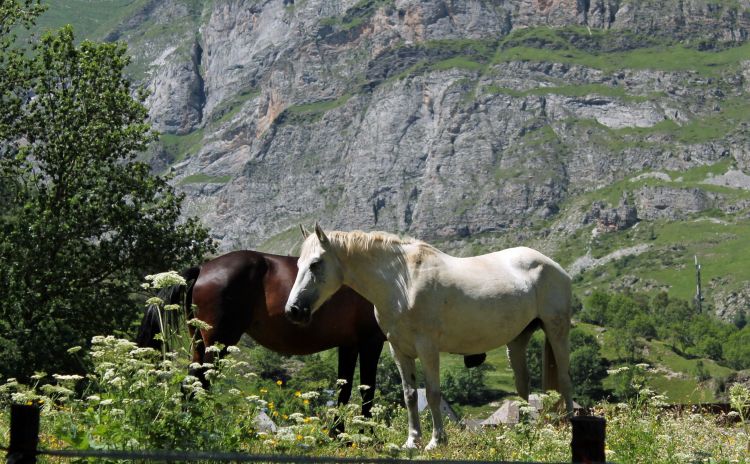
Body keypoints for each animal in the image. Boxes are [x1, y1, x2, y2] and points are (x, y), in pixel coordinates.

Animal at [284, 225, 572, 450]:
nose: (293, 310)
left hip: (557, 331)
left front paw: (436, 441)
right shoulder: (399, 350)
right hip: (517, 340)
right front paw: (413, 441)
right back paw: (522, 433)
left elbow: (433, 394)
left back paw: (569, 427)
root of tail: (555, 267)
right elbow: (410, 395)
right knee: (523, 385)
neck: (402, 282)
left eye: (315, 264)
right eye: (298, 264)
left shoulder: (428, 348)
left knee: (565, 379)